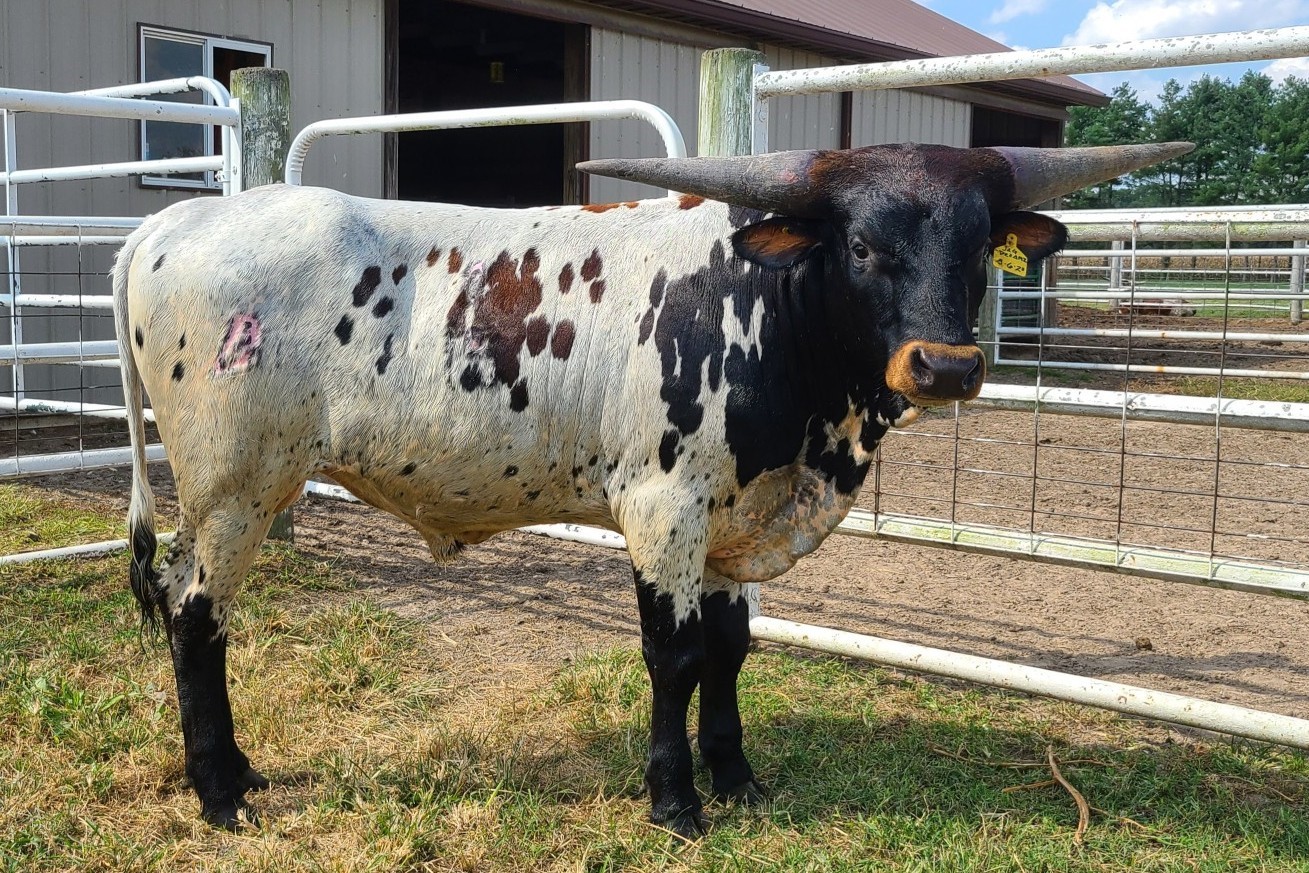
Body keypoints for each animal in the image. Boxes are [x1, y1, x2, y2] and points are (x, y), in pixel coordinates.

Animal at [112, 140, 1191, 837]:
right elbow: (673, 658)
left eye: (976, 247)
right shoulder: (662, 510)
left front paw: (737, 774)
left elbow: (729, 651)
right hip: (235, 488)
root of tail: (180, 216)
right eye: (861, 245)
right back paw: (221, 793)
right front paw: (675, 800)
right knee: (195, 619)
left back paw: (237, 773)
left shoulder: (733, 520)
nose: (946, 366)